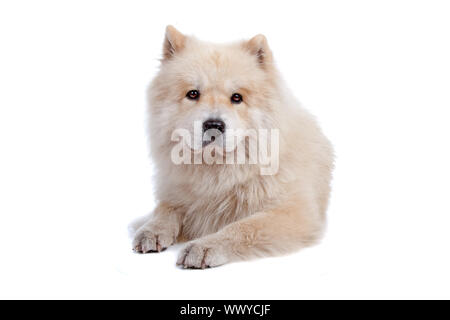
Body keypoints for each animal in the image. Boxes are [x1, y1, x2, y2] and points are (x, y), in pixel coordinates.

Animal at [131, 26, 334, 268]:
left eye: (237, 97)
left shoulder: (293, 212)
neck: (218, 172)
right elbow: (164, 210)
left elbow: (242, 227)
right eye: (193, 94)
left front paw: (203, 247)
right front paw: (151, 231)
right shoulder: (175, 194)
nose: (214, 125)